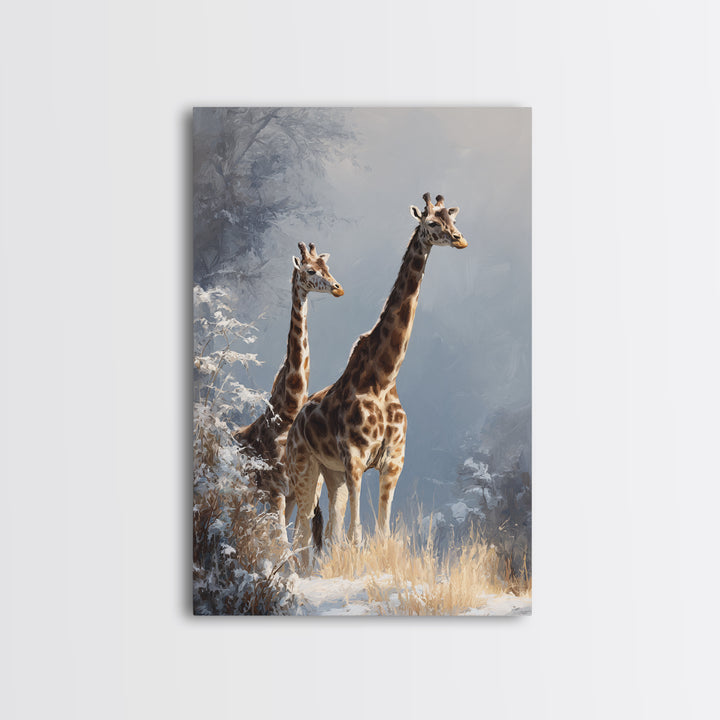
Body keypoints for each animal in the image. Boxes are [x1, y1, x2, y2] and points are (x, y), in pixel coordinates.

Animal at [232, 242, 343, 529]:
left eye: (327, 266)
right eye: (310, 270)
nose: (338, 287)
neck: (287, 413)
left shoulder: (301, 491)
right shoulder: (276, 492)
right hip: (244, 493)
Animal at [285, 193, 468, 568]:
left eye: (454, 219)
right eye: (432, 222)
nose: (460, 240)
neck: (383, 377)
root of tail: (295, 423)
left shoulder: (393, 461)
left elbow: (380, 534)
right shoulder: (355, 459)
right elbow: (356, 534)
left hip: (332, 475)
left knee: (325, 530)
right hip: (305, 467)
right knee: (301, 530)